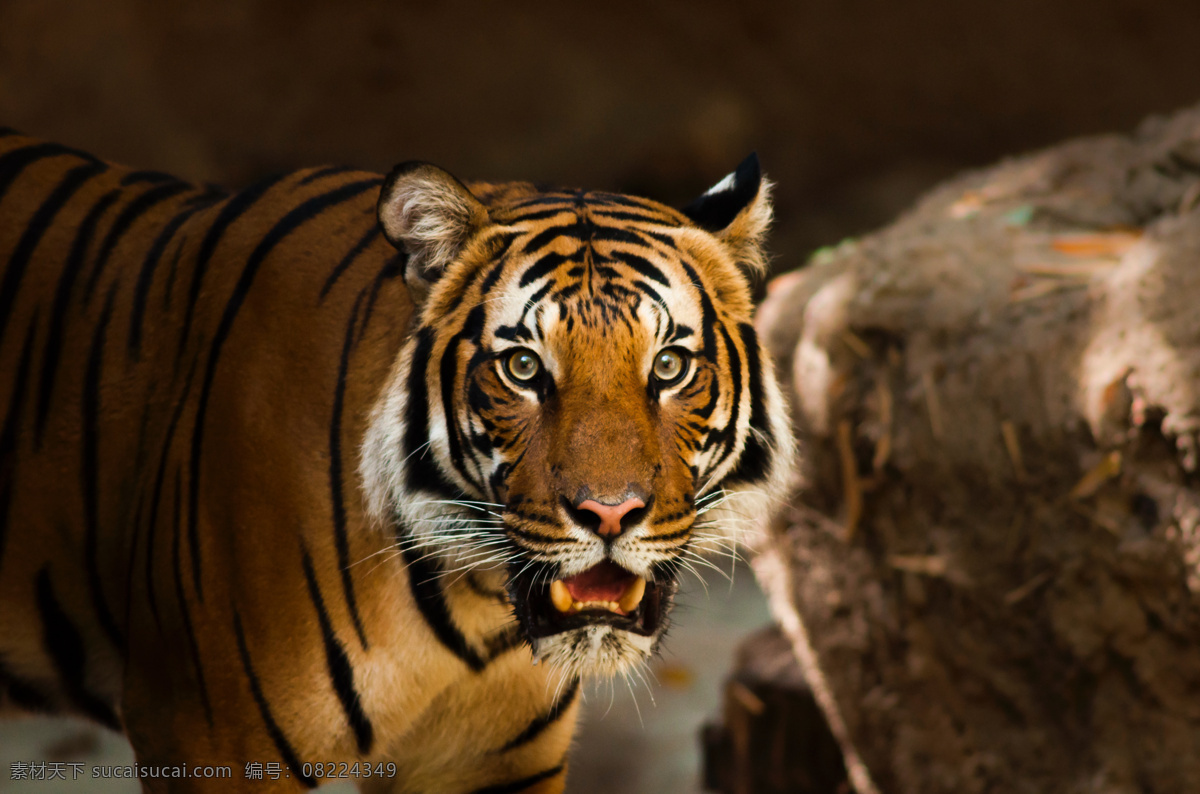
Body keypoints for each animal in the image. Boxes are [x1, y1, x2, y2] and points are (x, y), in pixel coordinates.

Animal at [0, 127, 794, 792]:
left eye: (668, 366)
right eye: (523, 368)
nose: (609, 513)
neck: (473, 609)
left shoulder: (493, 763)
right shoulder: (209, 740)